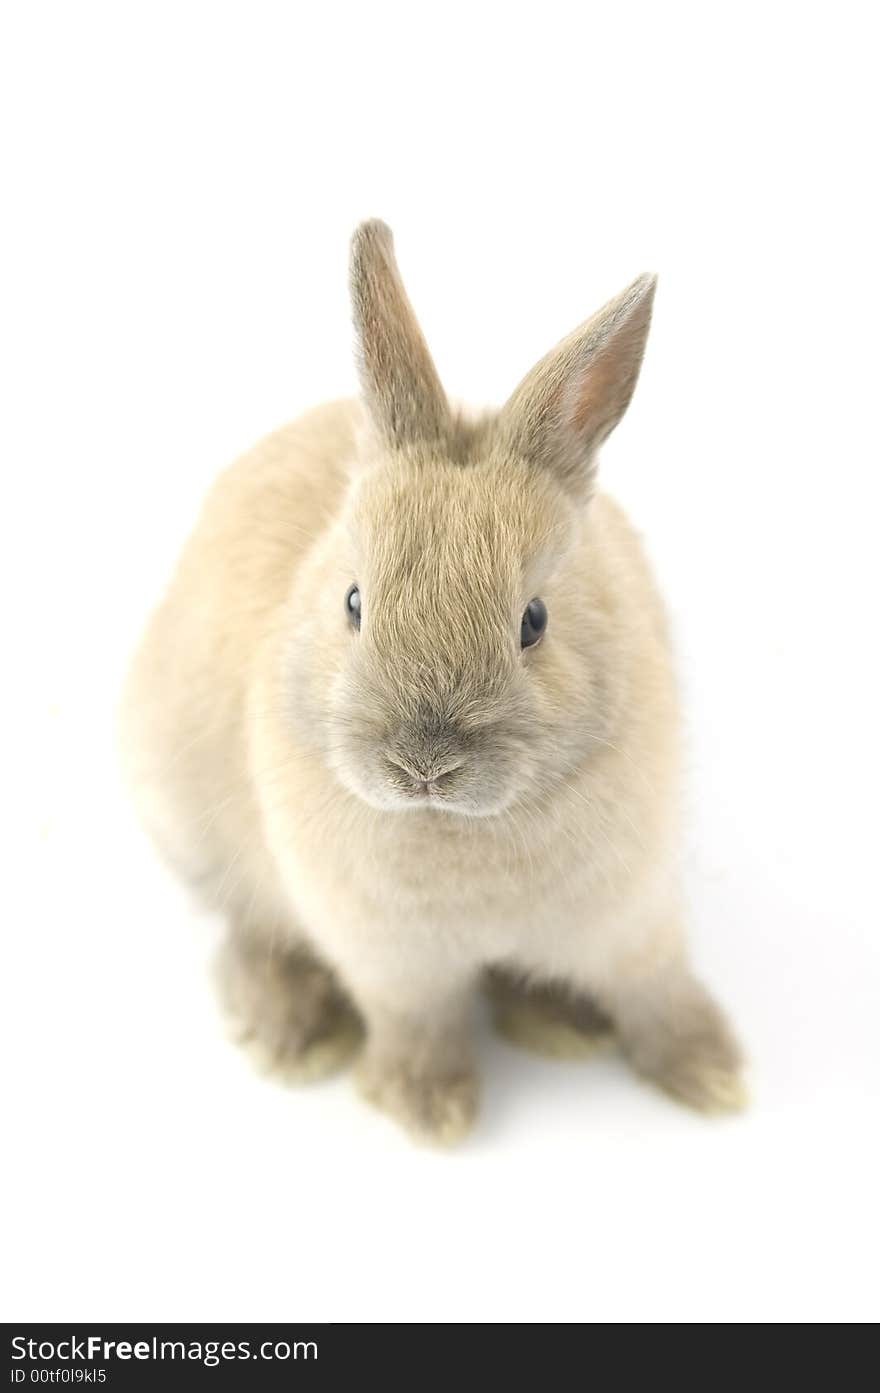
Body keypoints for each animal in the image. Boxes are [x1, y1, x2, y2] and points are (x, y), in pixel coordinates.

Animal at [120, 214, 746, 1131]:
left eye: (534, 621)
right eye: (353, 602)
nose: (423, 764)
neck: (463, 832)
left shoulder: (632, 916)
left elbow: (657, 990)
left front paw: (714, 1075)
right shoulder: (388, 958)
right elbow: (417, 1020)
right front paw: (432, 1110)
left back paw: (560, 1022)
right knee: (249, 926)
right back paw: (295, 1033)